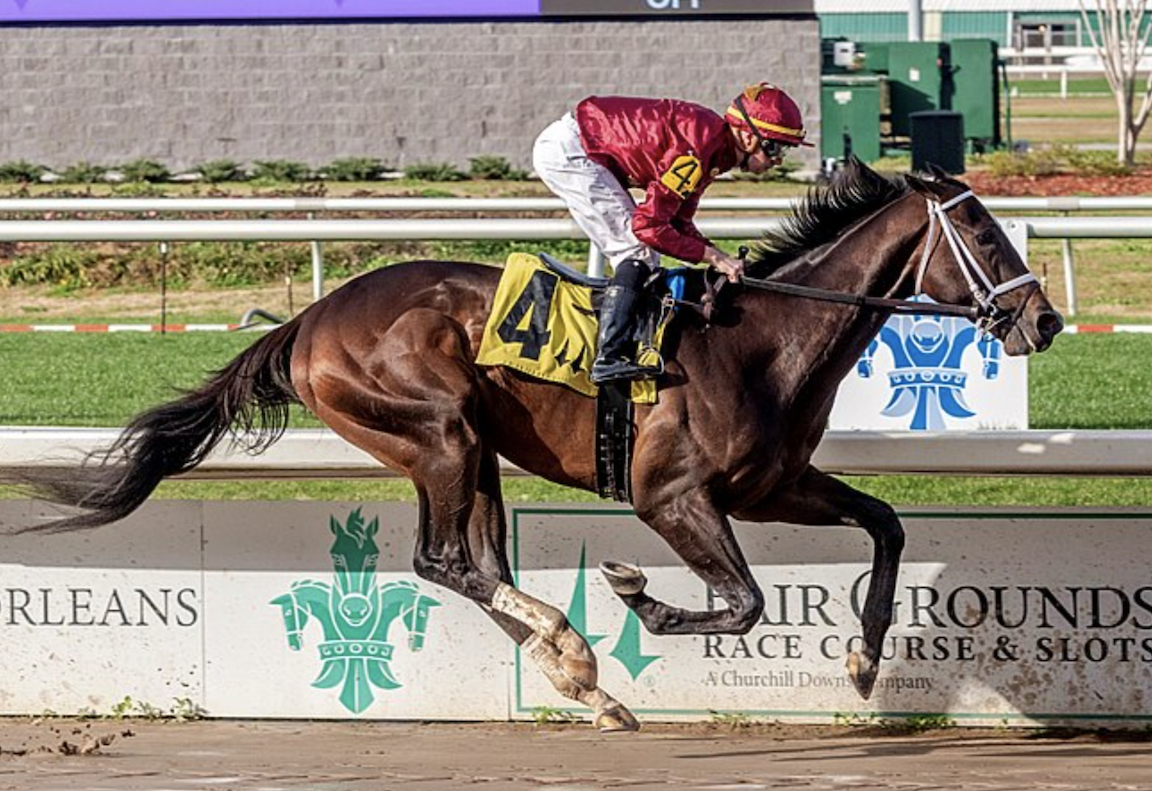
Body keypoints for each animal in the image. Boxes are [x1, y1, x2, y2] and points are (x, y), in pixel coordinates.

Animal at [15, 157, 1059, 732]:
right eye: (983, 234)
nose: (1042, 319)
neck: (763, 338)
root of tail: (311, 317)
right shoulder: (671, 496)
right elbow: (745, 602)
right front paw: (639, 598)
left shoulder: (771, 485)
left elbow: (883, 525)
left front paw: (865, 660)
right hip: (438, 429)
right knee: (442, 559)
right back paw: (573, 651)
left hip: (474, 452)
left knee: (476, 560)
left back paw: (578, 677)